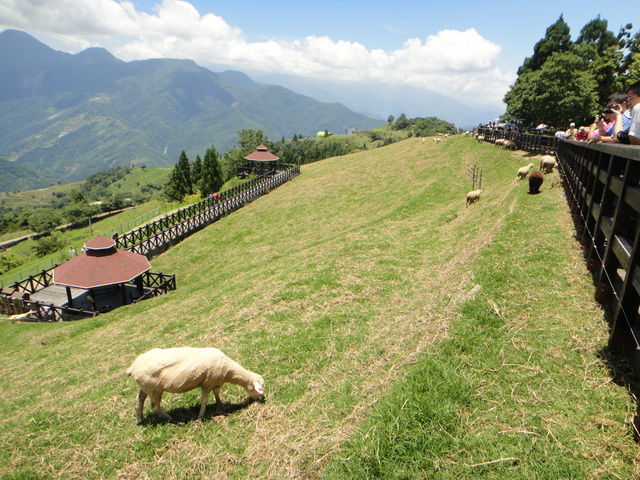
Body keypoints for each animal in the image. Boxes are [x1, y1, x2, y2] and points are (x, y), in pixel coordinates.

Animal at [126, 346, 266, 422]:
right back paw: (171, 419)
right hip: (154, 389)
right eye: (260, 388)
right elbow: (204, 400)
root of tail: (132, 368)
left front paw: (220, 404)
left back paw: (140, 419)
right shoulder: (208, 383)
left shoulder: (215, 382)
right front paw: (201, 415)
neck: (229, 371)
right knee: (155, 406)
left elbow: (217, 393)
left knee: (139, 401)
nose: (262, 399)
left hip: (146, 386)